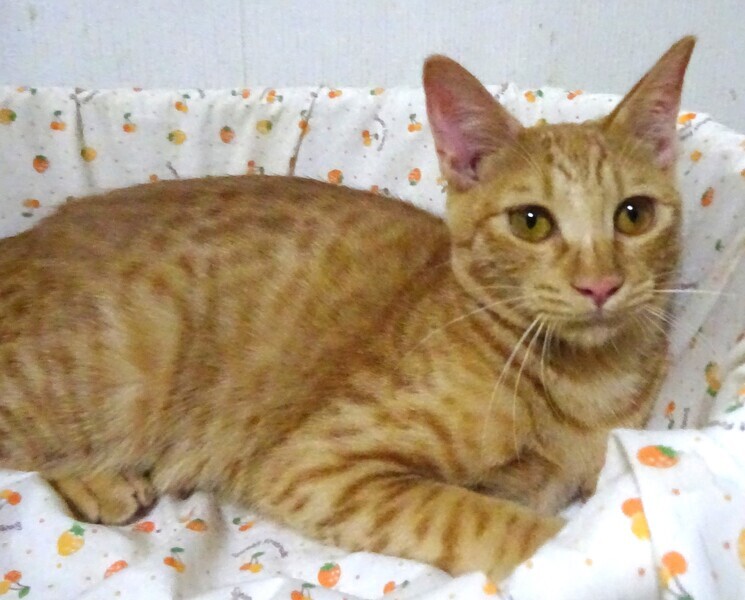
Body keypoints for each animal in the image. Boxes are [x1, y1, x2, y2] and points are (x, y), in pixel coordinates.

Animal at [0, 36, 694, 580]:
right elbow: (489, 519)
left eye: (633, 215)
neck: (585, 385)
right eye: (532, 222)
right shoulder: (318, 466)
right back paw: (99, 480)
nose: (600, 285)